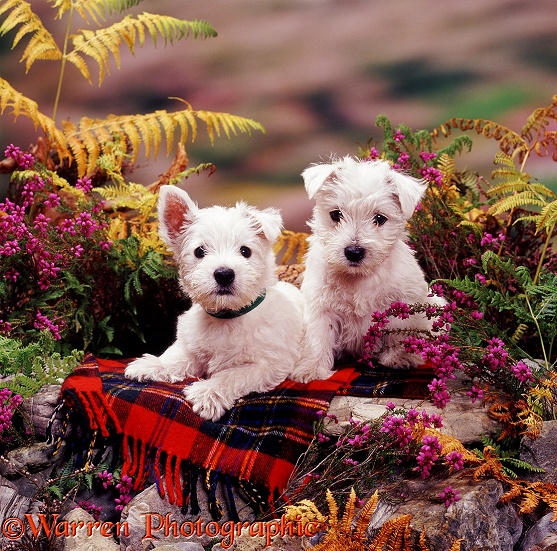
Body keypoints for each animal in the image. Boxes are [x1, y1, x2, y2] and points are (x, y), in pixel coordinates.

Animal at [125, 187, 304, 422]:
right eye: (199, 251)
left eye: (245, 251)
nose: (224, 274)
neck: (228, 316)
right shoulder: (192, 349)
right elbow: (176, 357)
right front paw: (153, 364)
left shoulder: (267, 364)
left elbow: (233, 375)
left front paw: (208, 392)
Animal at [292, 155, 444, 384]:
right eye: (336, 215)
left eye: (379, 218)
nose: (354, 252)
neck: (358, 277)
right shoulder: (321, 308)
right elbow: (317, 338)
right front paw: (311, 369)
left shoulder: (400, 304)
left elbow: (398, 333)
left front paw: (400, 357)